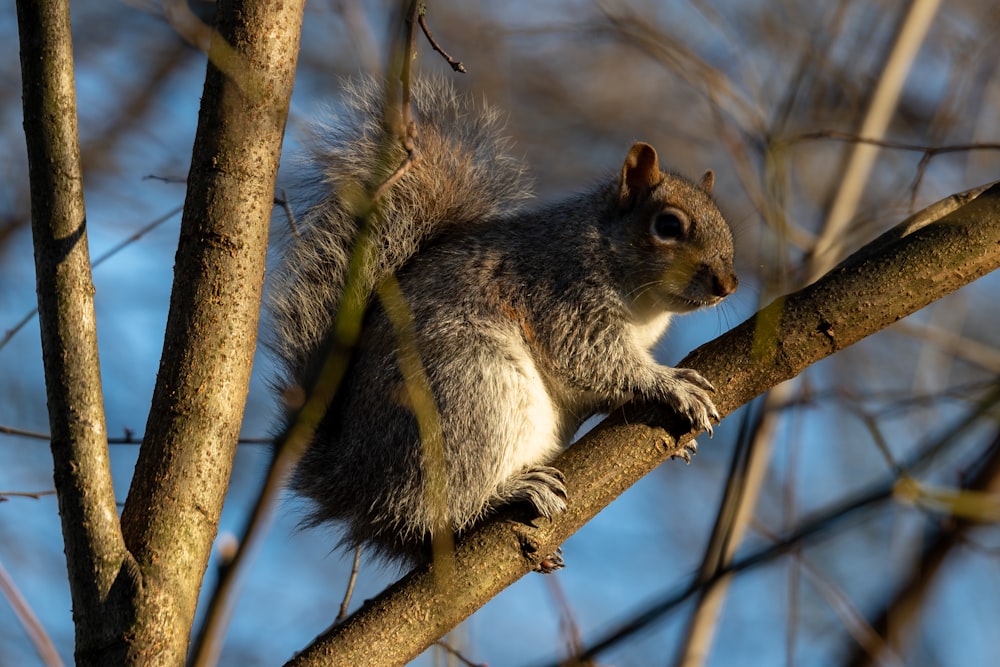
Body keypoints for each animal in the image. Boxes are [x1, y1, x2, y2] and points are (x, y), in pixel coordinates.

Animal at [270, 77, 740, 568]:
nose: (728, 284)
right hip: (468, 389)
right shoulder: (561, 295)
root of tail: (353, 484)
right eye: (667, 226)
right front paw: (670, 384)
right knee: (431, 510)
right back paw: (507, 492)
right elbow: (592, 359)